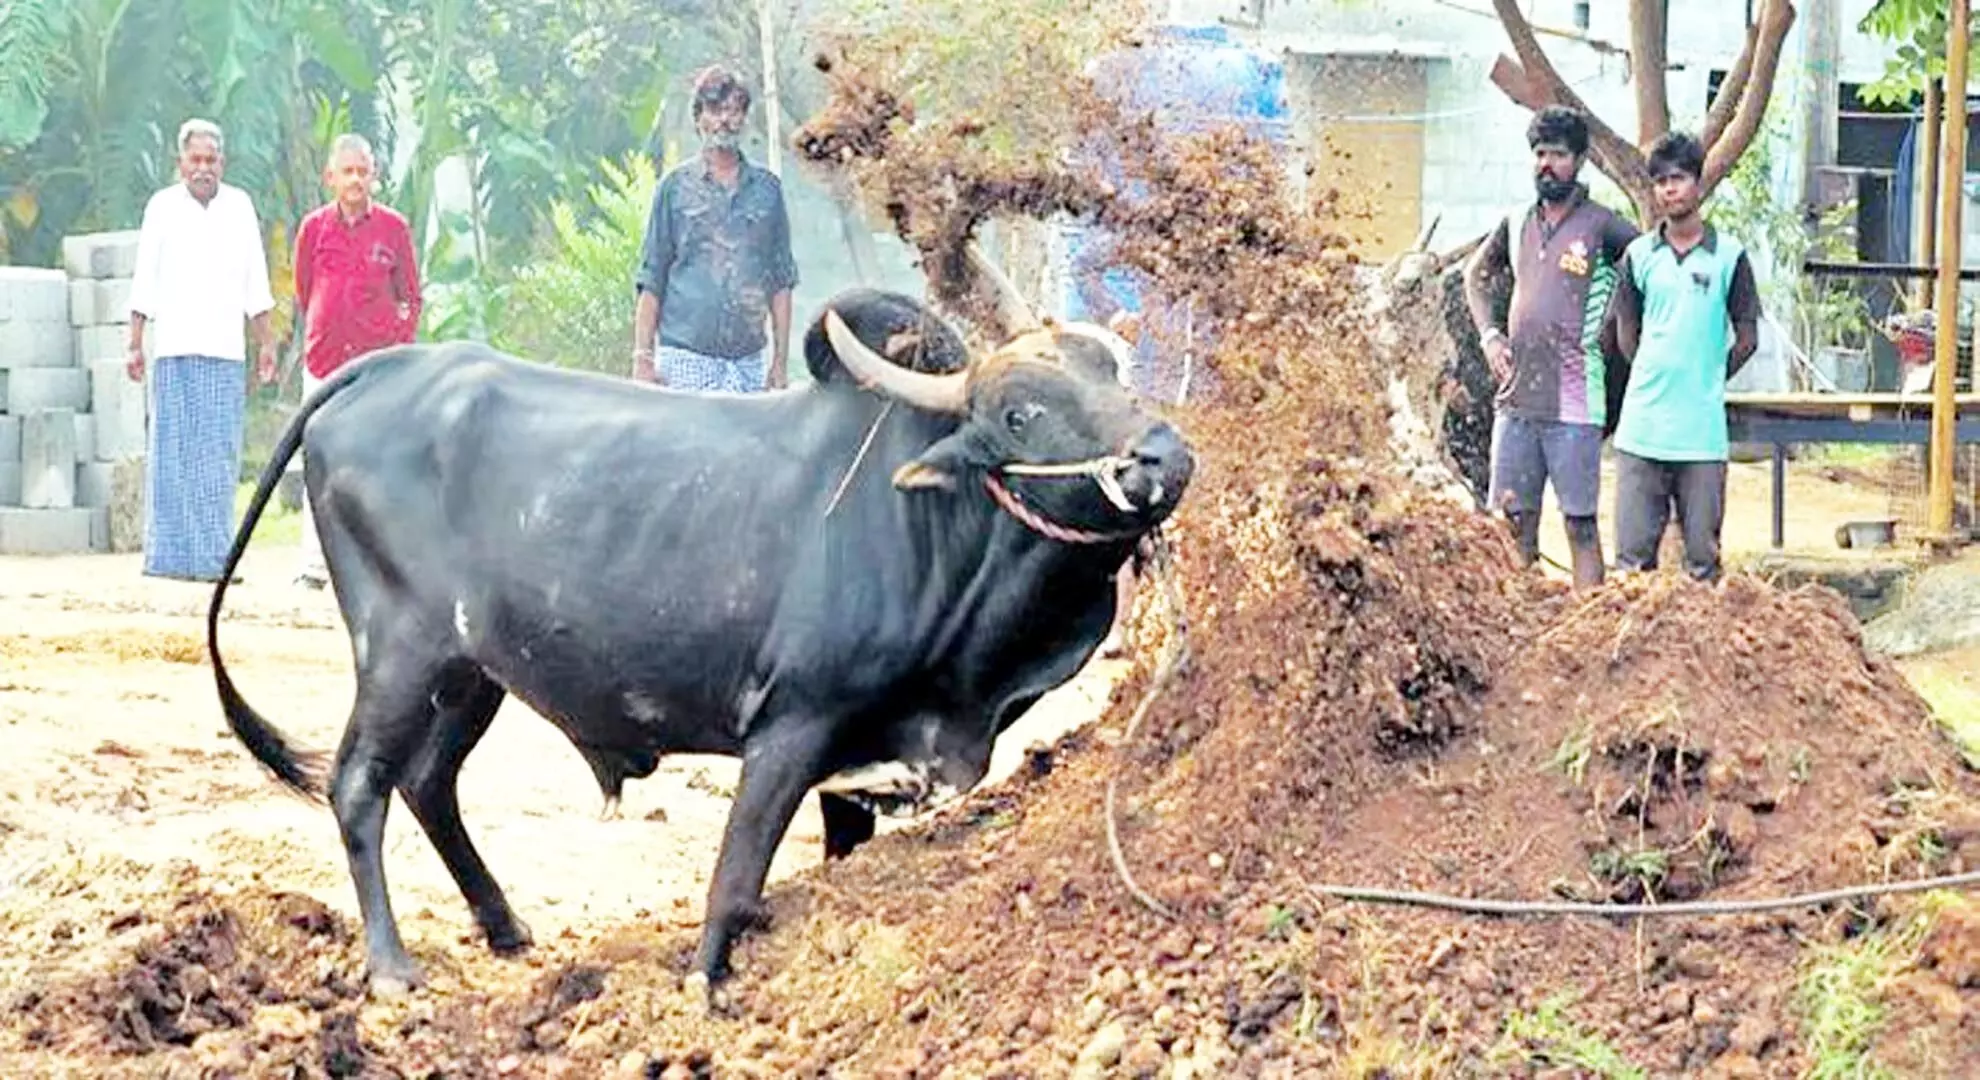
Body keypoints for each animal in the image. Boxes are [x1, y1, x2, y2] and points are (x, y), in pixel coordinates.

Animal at [204, 289, 1188, 994]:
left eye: (1116, 377)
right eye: (1020, 413)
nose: (1162, 457)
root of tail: (384, 369)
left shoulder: (856, 765)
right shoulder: (792, 727)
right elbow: (736, 875)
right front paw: (707, 985)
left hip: (472, 673)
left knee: (427, 782)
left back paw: (505, 927)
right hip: (398, 652)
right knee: (359, 785)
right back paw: (391, 967)